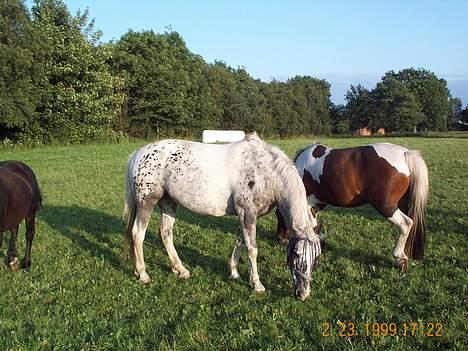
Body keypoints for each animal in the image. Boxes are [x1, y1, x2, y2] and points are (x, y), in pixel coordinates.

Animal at [123, 133, 322, 302]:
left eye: (316, 260)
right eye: (296, 255)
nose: (303, 294)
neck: (266, 171)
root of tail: (138, 154)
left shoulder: (245, 215)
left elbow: (240, 242)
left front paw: (234, 272)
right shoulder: (248, 213)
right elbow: (252, 249)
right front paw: (257, 284)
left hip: (168, 202)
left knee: (165, 234)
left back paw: (180, 270)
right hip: (147, 202)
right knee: (137, 235)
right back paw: (143, 274)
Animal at [276, 143, 430, 272]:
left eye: (278, 215)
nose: (281, 239)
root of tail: (405, 153)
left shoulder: (308, 204)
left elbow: (311, 225)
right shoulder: (317, 204)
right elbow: (315, 225)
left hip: (386, 207)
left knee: (406, 223)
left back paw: (399, 257)